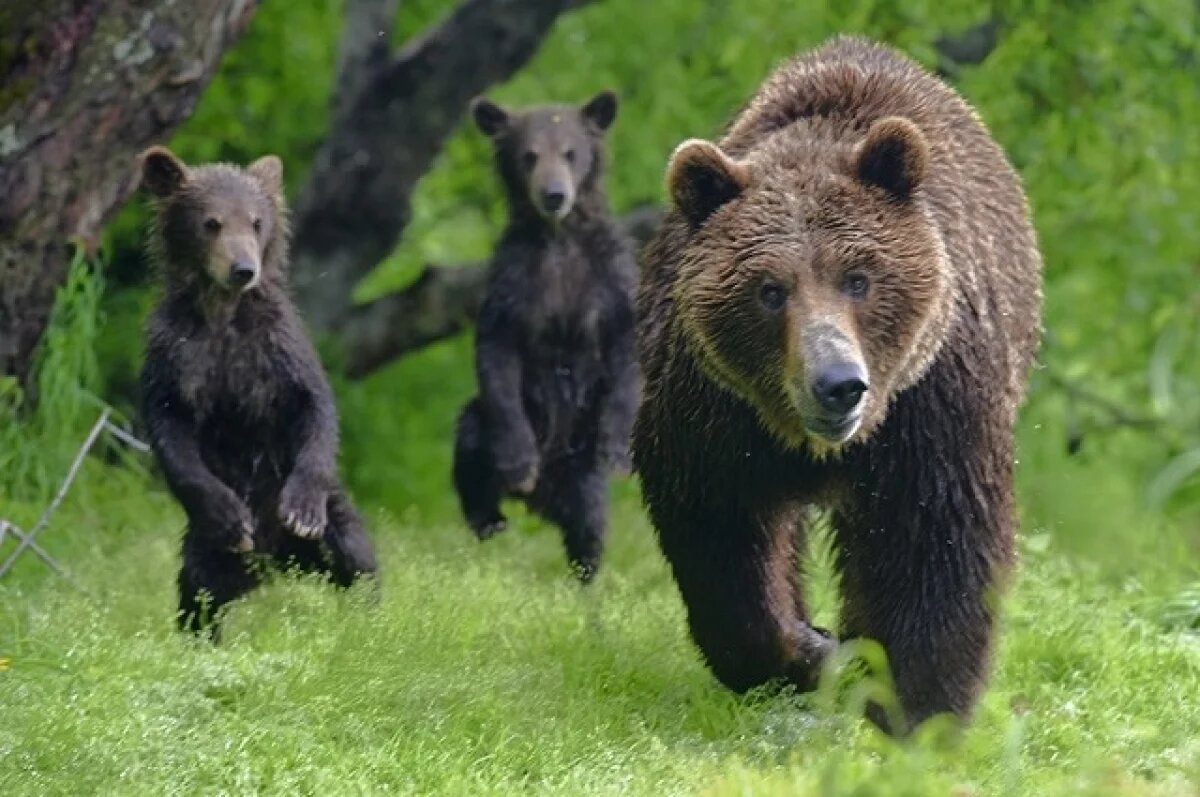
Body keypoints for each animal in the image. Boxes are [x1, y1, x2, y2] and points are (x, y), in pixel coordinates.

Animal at [638, 39, 1041, 734]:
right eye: (770, 290)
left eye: (859, 278)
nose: (839, 385)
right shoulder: (713, 411)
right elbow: (722, 538)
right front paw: (808, 651)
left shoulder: (931, 409)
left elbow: (933, 545)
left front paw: (912, 707)